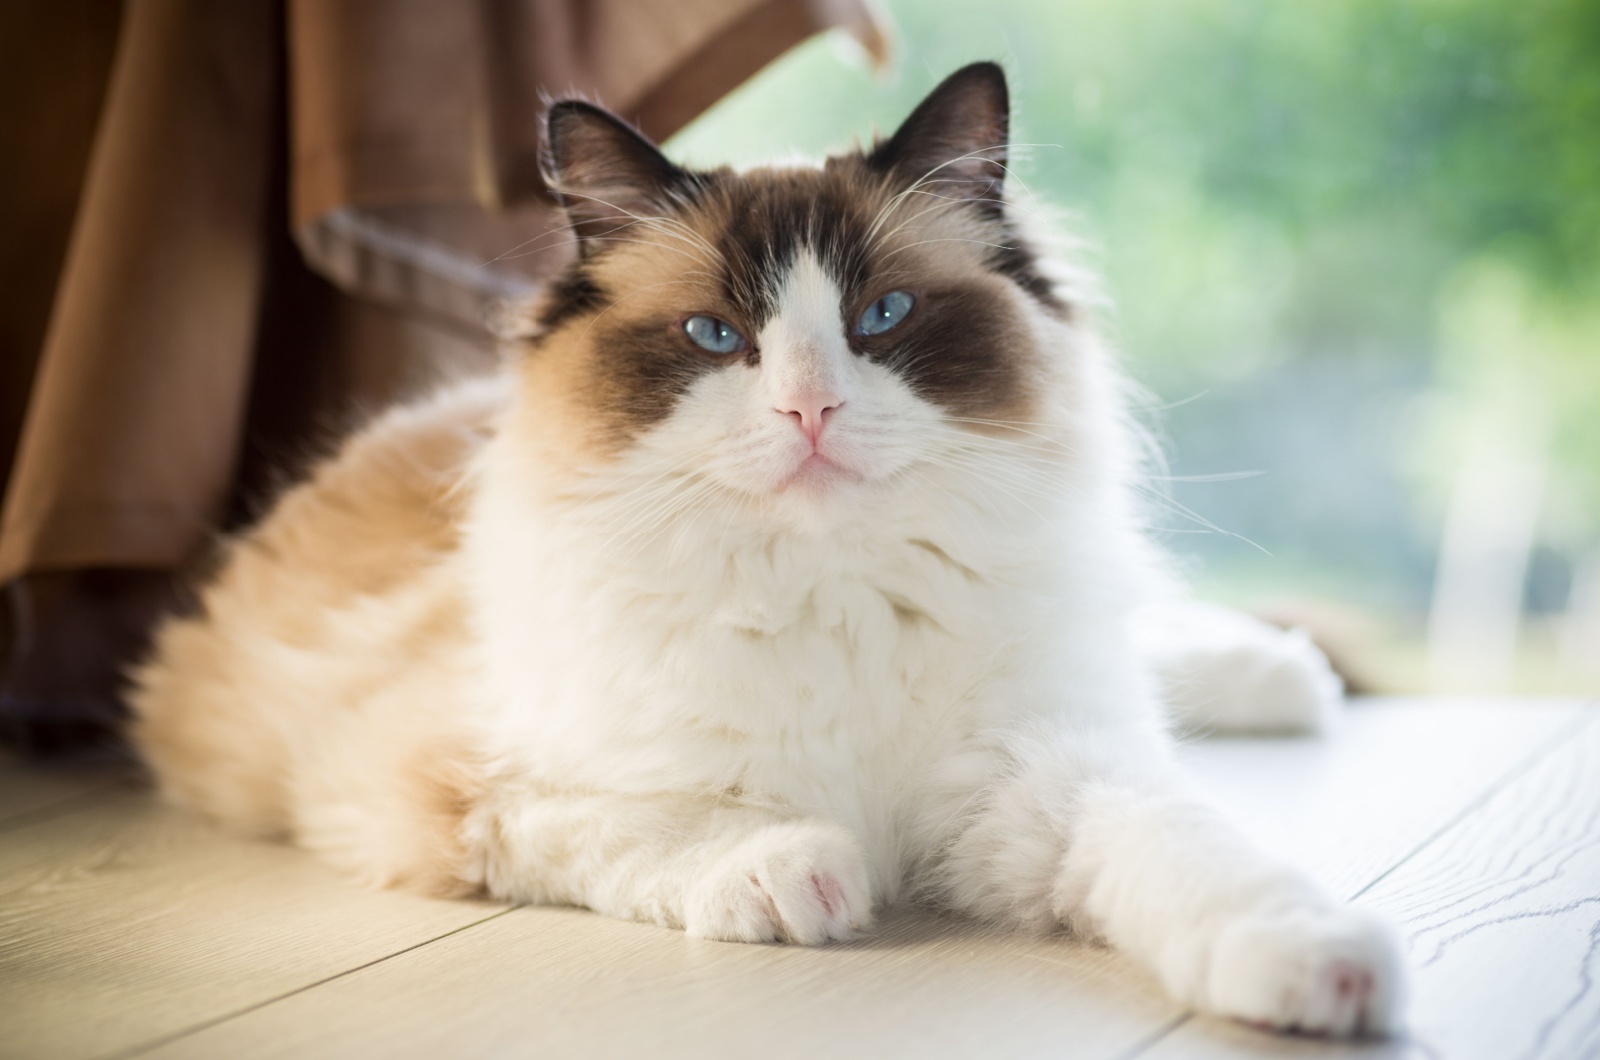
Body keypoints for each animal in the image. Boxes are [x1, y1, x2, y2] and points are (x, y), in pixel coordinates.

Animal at [134, 64, 1401, 1037]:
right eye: (715, 336)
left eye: (880, 319)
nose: (809, 410)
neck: (829, 594)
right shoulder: (432, 783)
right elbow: (649, 819)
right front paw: (798, 872)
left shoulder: (1050, 779)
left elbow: (1208, 865)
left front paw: (1326, 970)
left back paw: (1288, 676)